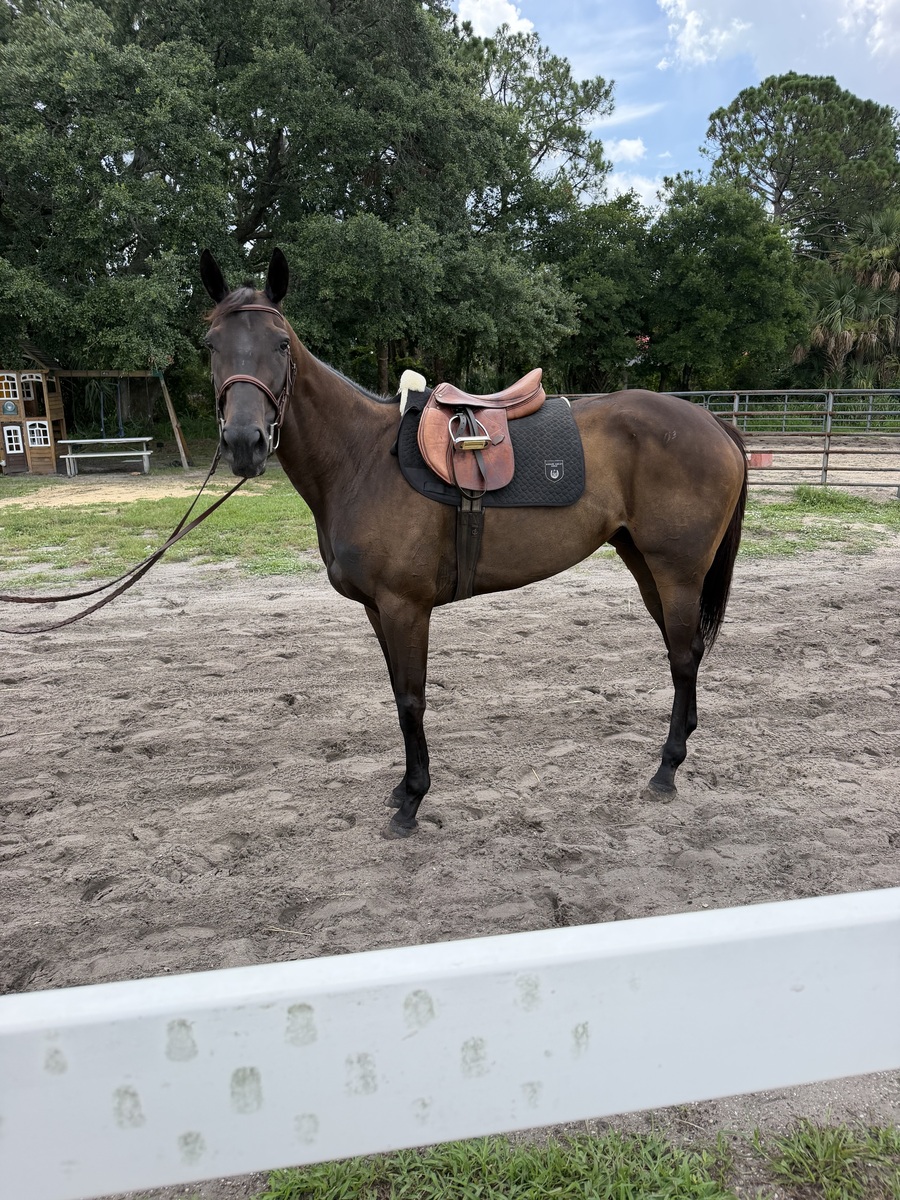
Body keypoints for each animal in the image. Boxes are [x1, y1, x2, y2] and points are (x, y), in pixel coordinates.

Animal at [200, 248, 748, 838]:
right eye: (211, 345)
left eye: (281, 344)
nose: (244, 442)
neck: (360, 459)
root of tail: (711, 420)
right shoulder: (378, 609)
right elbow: (398, 693)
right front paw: (402, 790)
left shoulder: (405, 607)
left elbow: (411, 700)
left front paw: (414, 801)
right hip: (644, 564)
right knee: (684, 651)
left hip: (677, 572)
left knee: (683, 656)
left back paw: (667, 769)